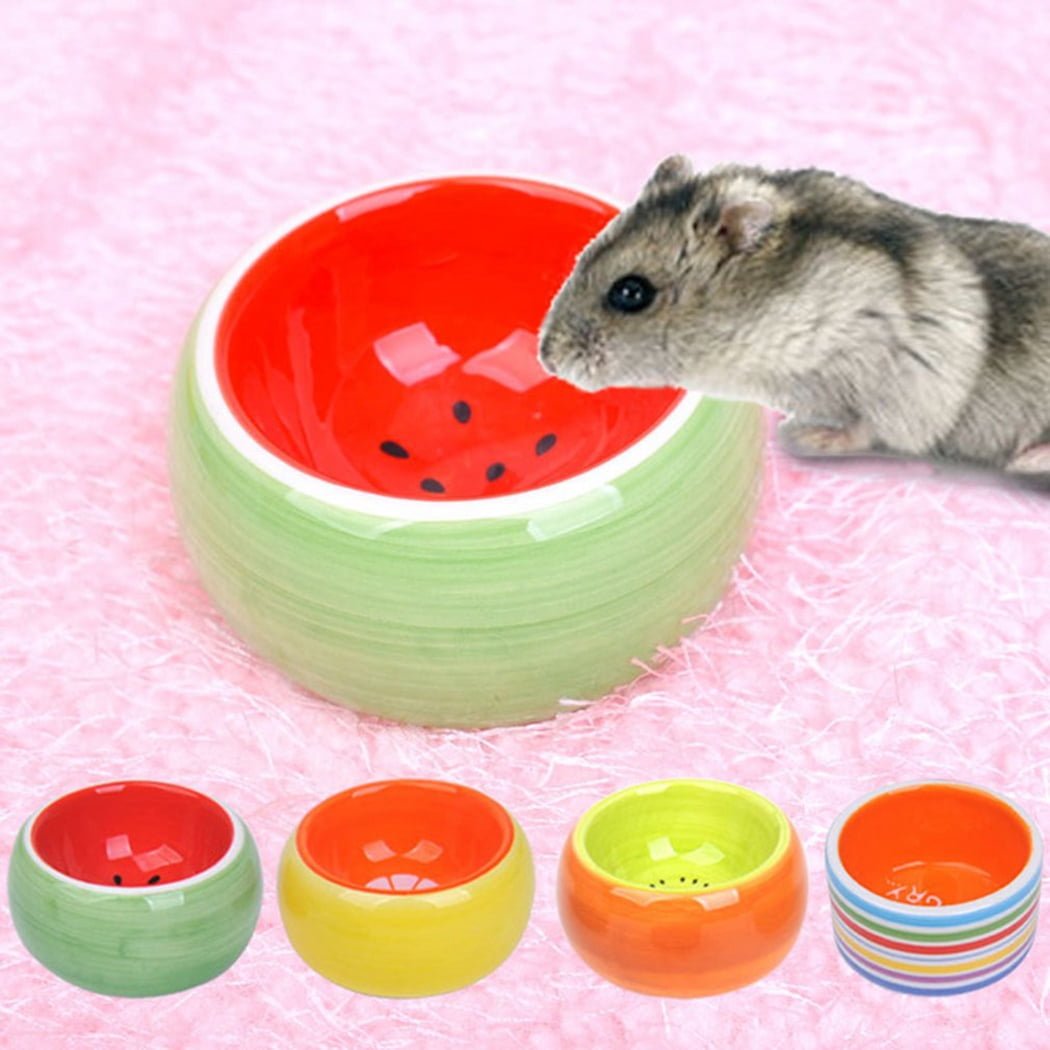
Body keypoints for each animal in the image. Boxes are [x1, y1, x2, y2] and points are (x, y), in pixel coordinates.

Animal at [538, 155, 1050, 479]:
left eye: (630, 292)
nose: (547, 358)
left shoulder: (898, 377)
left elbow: (867, 427)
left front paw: (801, 435)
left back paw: (1026, 459)